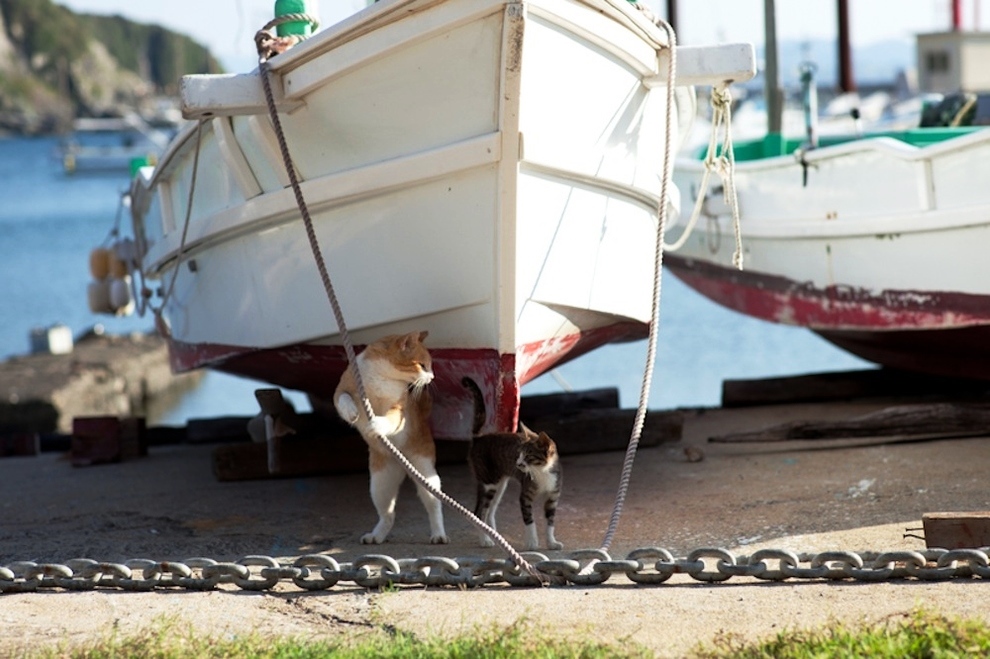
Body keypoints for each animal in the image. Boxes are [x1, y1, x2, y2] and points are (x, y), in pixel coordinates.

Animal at [334, 332, 450, 544]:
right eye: (422, 365)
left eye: (430, 366)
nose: (432, 377)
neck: (382, 376)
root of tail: (402, 466)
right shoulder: (341, 390)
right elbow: (344, 399)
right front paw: (352, 412)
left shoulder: (397, 409)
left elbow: (389, 420)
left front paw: (377, 425)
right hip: (379, 486)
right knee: (388, 515)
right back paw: (376, 536)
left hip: (426, 476)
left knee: (434, 508)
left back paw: (438, 534)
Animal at [462, 376, 560, 552]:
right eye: (519, 453)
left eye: (528, 455)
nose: (518, 463)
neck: (542, 472)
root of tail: (479, 438)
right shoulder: (525, 497)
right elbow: (529, 521)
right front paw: (532, 542)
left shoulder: (552, 497)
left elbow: (550, 523)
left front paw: (551, 542)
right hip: (489, 482)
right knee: (479, 512)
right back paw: (485, 540)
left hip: (500, 485)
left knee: (490, 511)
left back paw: (495, 535)